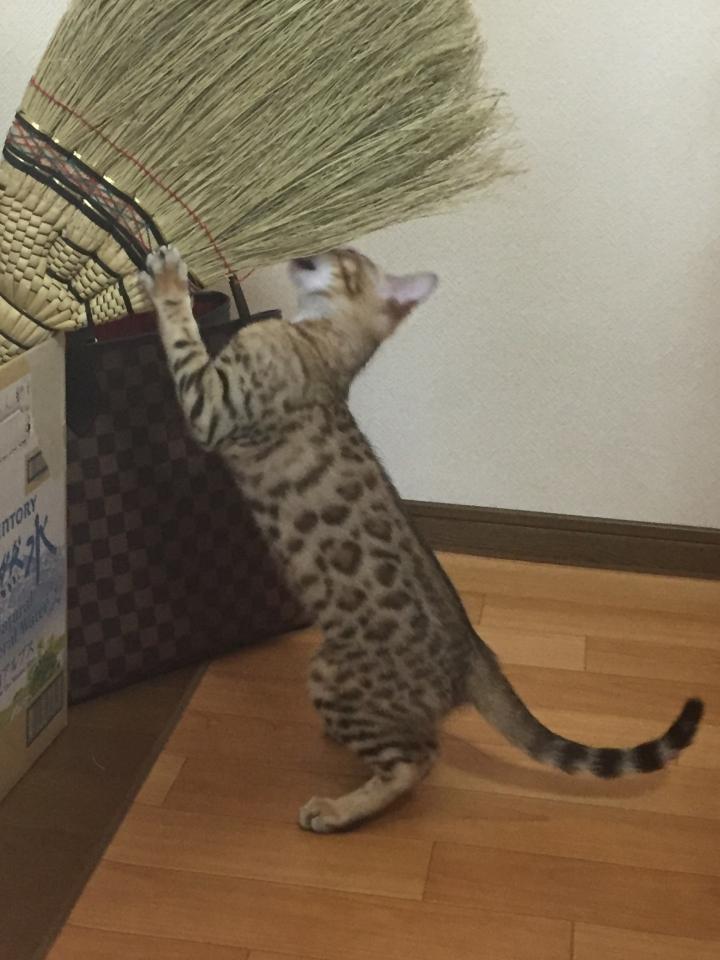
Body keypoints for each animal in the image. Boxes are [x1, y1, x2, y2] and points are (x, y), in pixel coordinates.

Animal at [141, 245, 703, 833]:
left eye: (340, 259)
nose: (304, 252)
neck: (319, 342)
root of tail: (474, 655)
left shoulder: (215, 404)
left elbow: (182, 334)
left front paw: (167, 280)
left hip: (334, 674)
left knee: (417, 760)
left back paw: (338, 810)